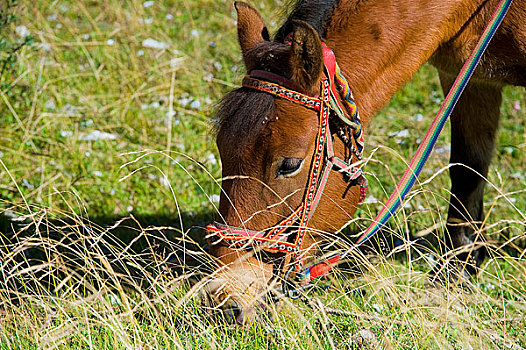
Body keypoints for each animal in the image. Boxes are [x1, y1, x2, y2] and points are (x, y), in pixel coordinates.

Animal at [204, 0, 524, 326]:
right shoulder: (469, 78)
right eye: (222, 149)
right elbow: (467, 170)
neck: (472, 11)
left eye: (290, 164)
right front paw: (456, 273)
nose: (223, 298)